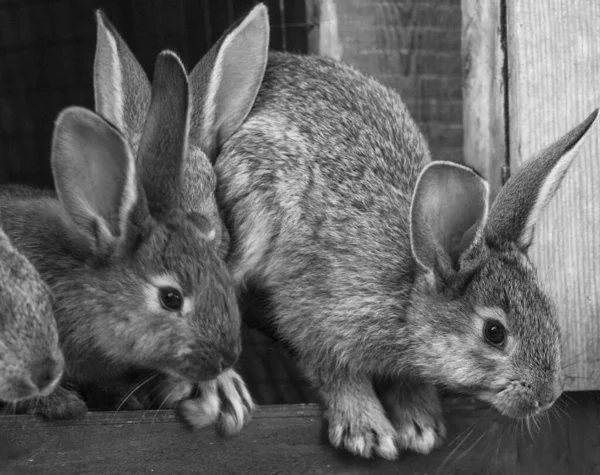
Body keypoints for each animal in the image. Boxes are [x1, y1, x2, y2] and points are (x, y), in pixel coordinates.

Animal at [91, 1, 596, 460]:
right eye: (494, 333)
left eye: (549, 311)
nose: (548, 394)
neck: (409, 289)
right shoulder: (315, 309)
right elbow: (333, 369)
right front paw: (366, 430)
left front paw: (419, 424)